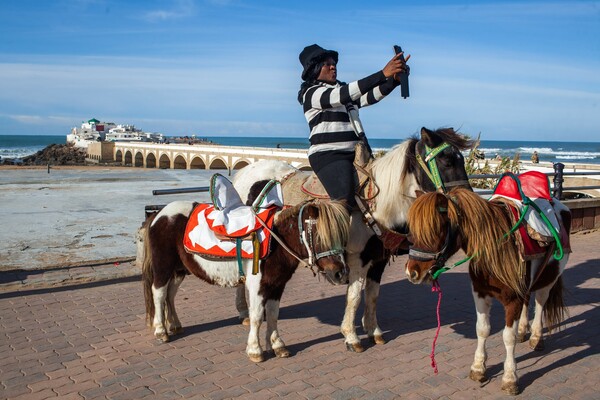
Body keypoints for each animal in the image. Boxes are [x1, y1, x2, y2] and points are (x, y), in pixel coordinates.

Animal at [141, 180, 350, 360]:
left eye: (342, 235)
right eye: (320, 236)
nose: (340, 274)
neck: (276, 240)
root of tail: (159, 214)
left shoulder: (277, 285)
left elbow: (273, 314)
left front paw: (278, 346)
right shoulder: (257, 285)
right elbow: (256, 316)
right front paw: (255, 350)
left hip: (179, 270)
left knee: (170, 295)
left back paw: (175, 325)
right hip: (163, 267)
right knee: (159, 293)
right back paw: (161, 331)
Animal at [233, 126, 474, 352]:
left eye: (461, 159)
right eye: (447, 161)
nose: (466, 199)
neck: (375, 203)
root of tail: (242, 172)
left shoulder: (379, 258)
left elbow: (373, 295)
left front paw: (374, 331)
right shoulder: (357, 259)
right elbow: (355, 296)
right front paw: (351, 336)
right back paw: (244, 312)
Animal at [406, 188, 568, 394]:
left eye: (436, 229)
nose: (412, 272)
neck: (495, 250)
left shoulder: (513, 300)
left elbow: (508, 337)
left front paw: (510, 378)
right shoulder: (480, 293)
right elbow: (482, 329)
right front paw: (478, 368)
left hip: (550, 277)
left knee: (540, 302)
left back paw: (536, 338)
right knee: (528, 300)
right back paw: (523, 330)